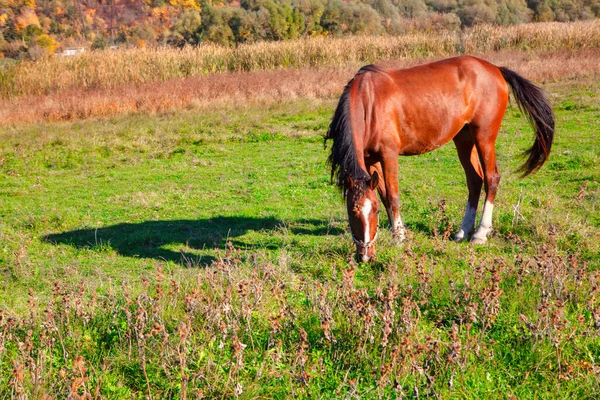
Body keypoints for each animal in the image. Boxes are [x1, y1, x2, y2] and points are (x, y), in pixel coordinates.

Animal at [326, 56, 556, 262]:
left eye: (374, 212)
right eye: (352, 213)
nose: (365, 256)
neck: (369, 101)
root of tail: (495, 69)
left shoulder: (388, 154)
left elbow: (392, 196)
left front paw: (399, 236)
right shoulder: (370, 159)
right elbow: (383, 195)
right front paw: (395, 232)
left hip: (484, 137)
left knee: (491, 178)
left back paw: (481, 233)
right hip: (464, 138)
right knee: (475, 180)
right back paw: (463, 231)